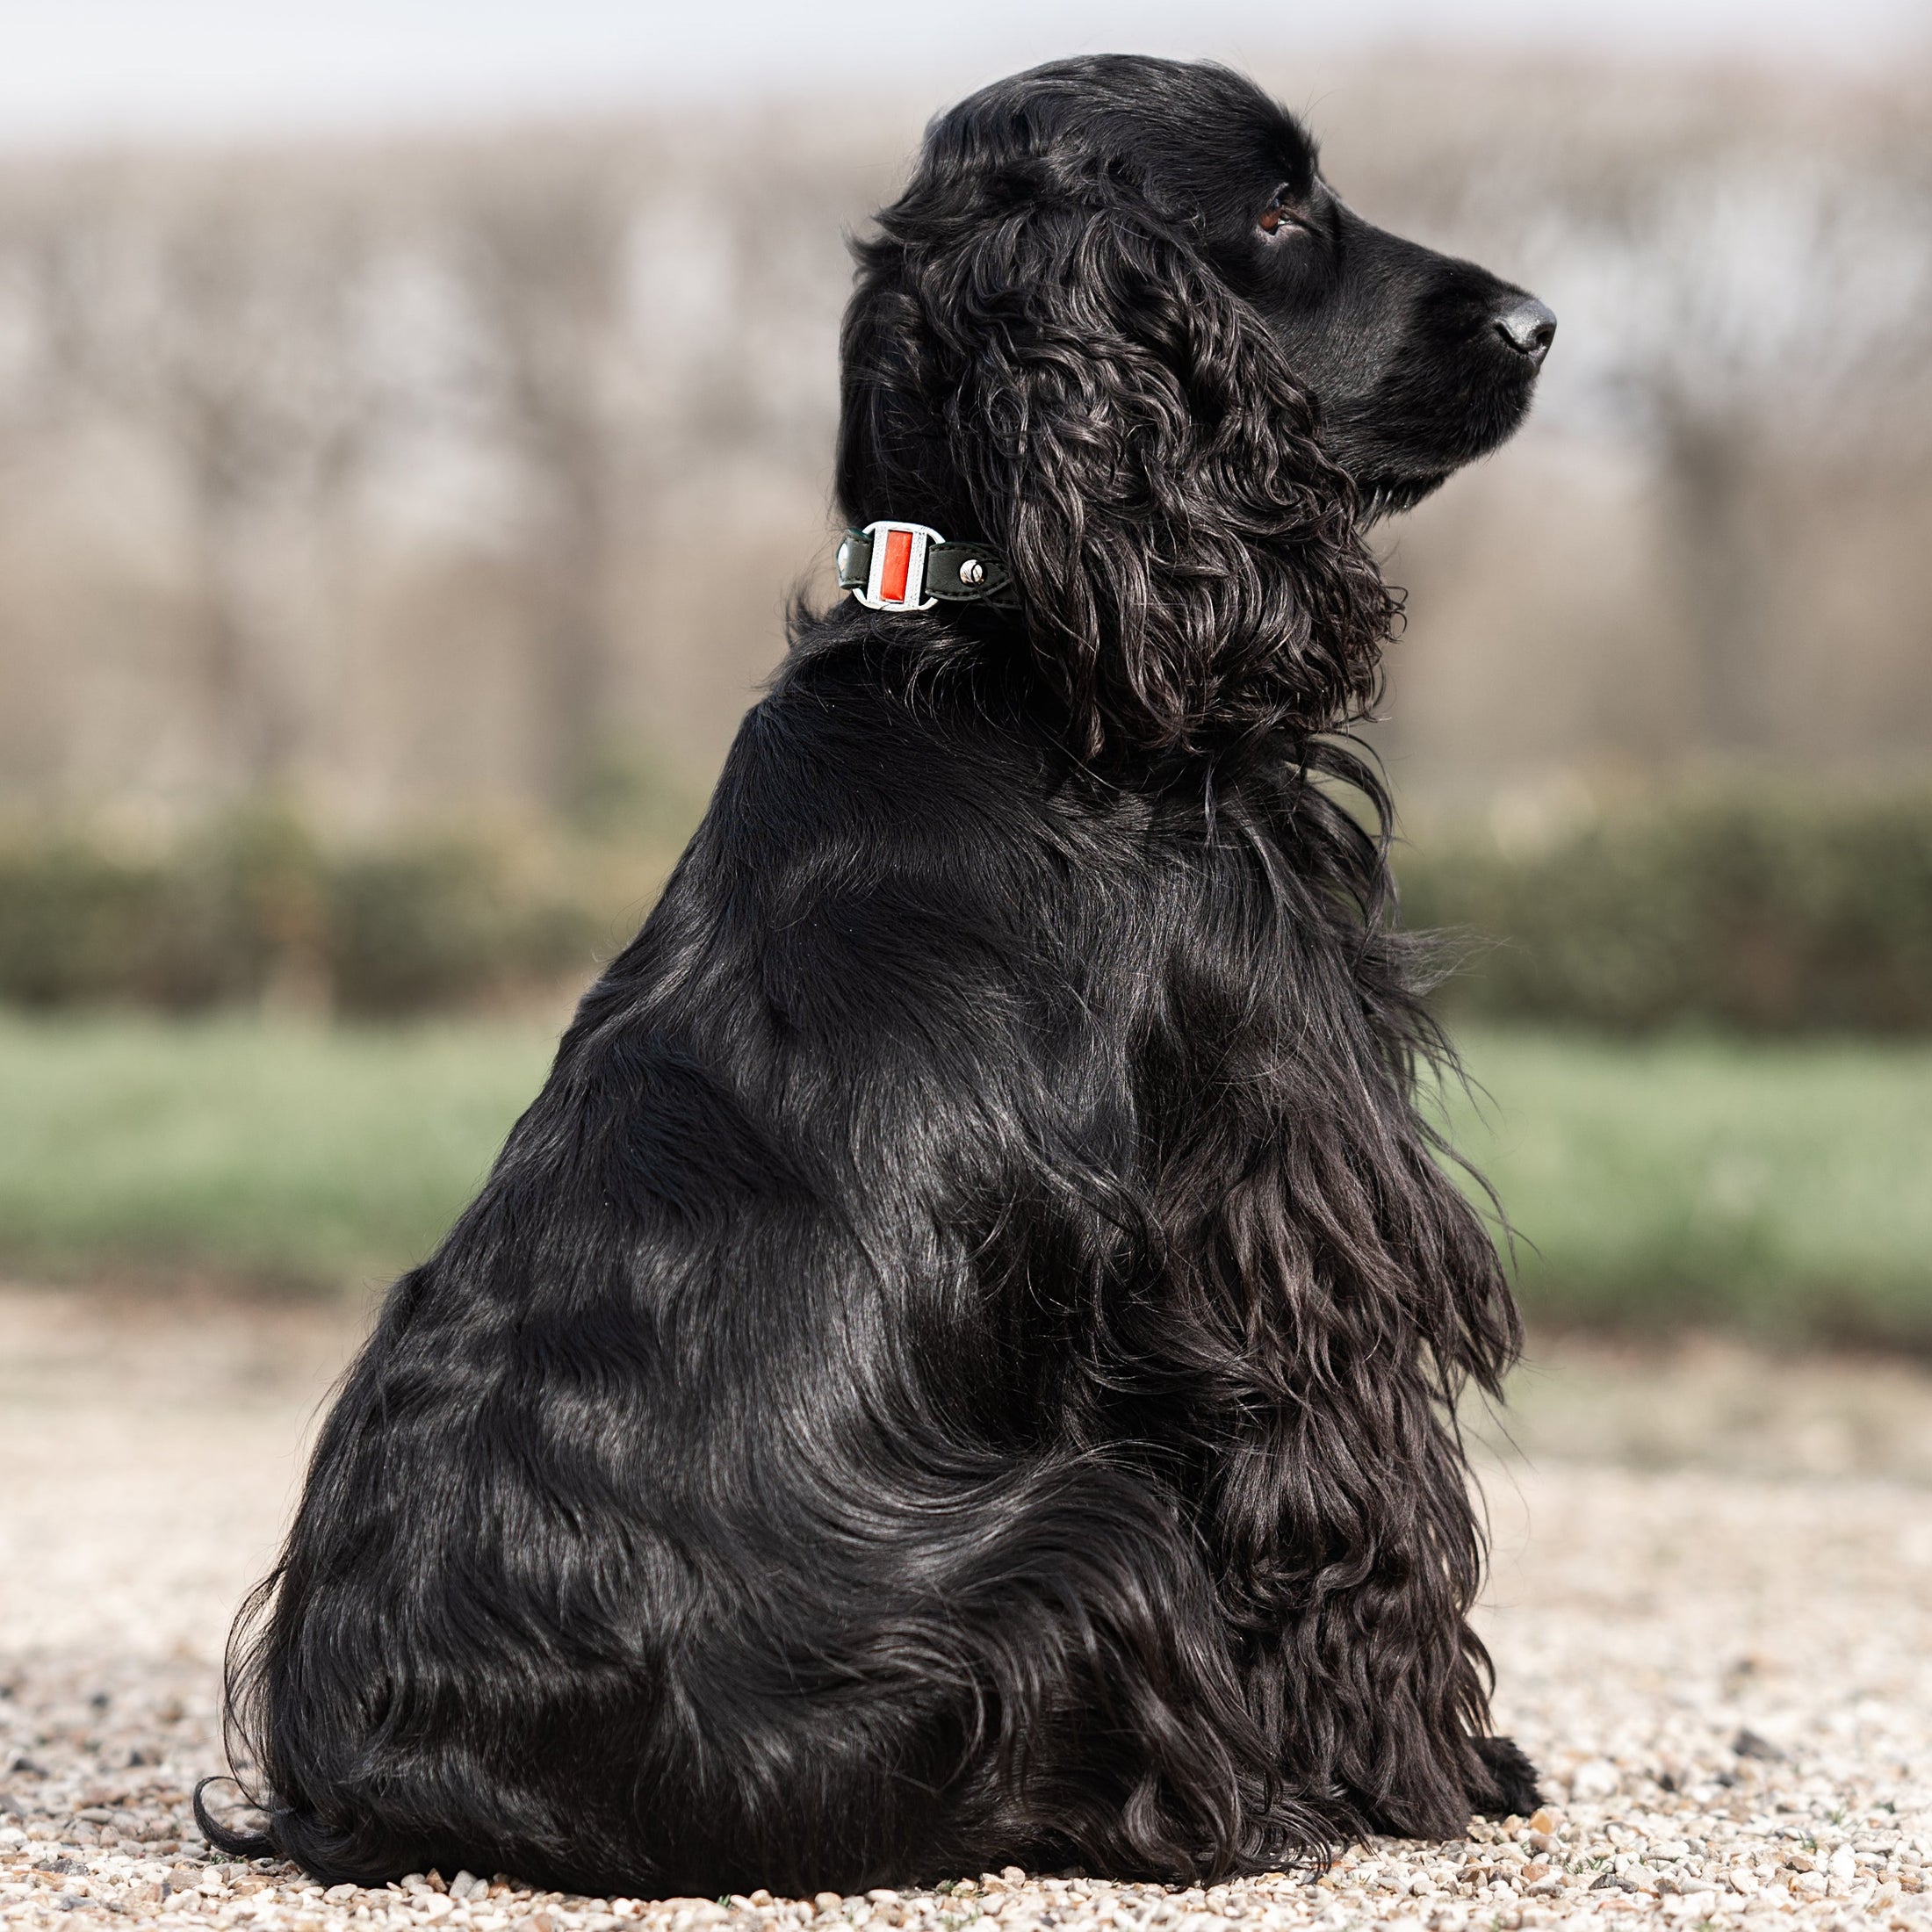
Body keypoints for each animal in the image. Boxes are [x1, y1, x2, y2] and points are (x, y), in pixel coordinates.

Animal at [199, 56, 1553, 1900]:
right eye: (1279, 212)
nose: (1543, 322)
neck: (1012, 635)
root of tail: (406, 1785)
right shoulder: (1287, 1212)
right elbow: (1361, 1506)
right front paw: (1432, 1772)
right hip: (1086, 1538)